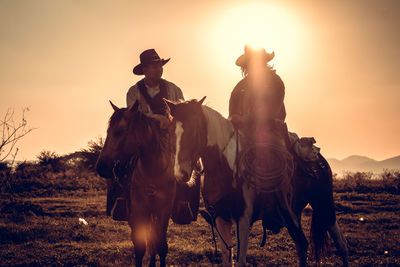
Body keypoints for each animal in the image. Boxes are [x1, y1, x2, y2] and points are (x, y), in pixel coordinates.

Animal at [95, 101, 175, 266]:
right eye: (108, 130)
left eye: (119, 131)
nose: (101, 167)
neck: (153, 171)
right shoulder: (139, 210)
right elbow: (140, 247)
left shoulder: (164, 209)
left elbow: (161, 246)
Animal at [166, 99, 310, 267]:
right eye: (170, 131)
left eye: (194, 129)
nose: (180, 173)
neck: (223, 167)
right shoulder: (220, 218)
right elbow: (227, 259)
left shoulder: (243, 219)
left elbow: (240, 261)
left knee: (302, 244)